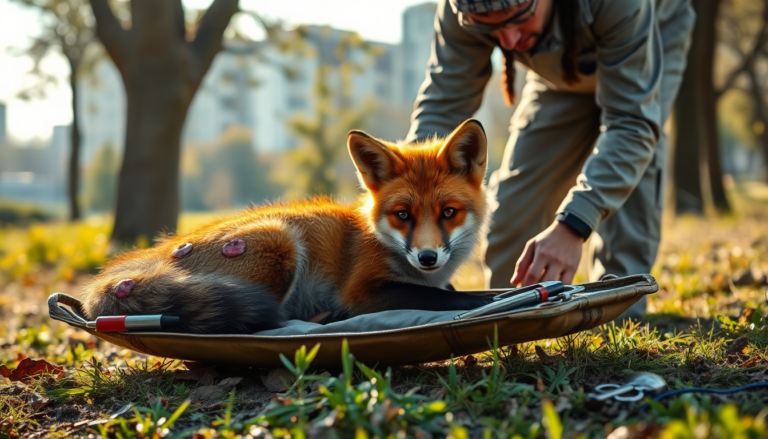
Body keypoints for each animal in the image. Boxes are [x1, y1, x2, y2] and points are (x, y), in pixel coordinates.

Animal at [81, 119, 495, 334]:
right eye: (403, 215)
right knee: (261, 324)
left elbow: (444, 291)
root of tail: (155, 253)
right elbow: (442, 297)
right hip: (279, 245)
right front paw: (481, 300)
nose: (427, 258)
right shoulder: (360, 291)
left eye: (448, 212)